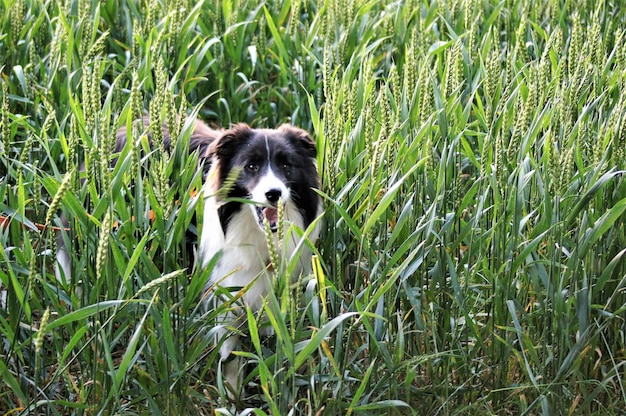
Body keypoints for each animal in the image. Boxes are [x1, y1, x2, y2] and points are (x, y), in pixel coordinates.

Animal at [53, 118, 322, 398]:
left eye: (286, 166)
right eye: (251, 166)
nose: (274, 193)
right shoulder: (223, 290)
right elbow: (229, 354)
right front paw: (231, 396)